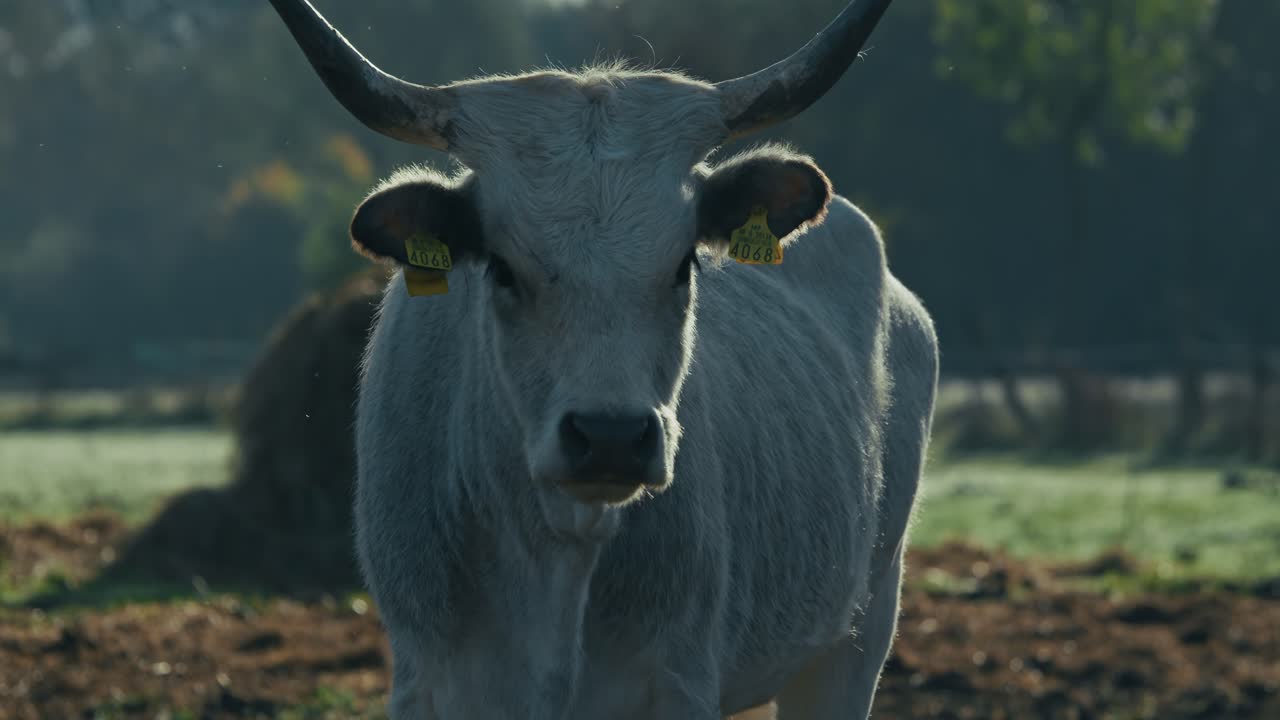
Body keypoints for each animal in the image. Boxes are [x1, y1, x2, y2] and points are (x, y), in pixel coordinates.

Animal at [266, 0, 937, 718]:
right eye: (501, 268)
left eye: (684, 263)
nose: (610, 436)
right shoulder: (425, 682)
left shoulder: (677, 681)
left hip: (857, 636)